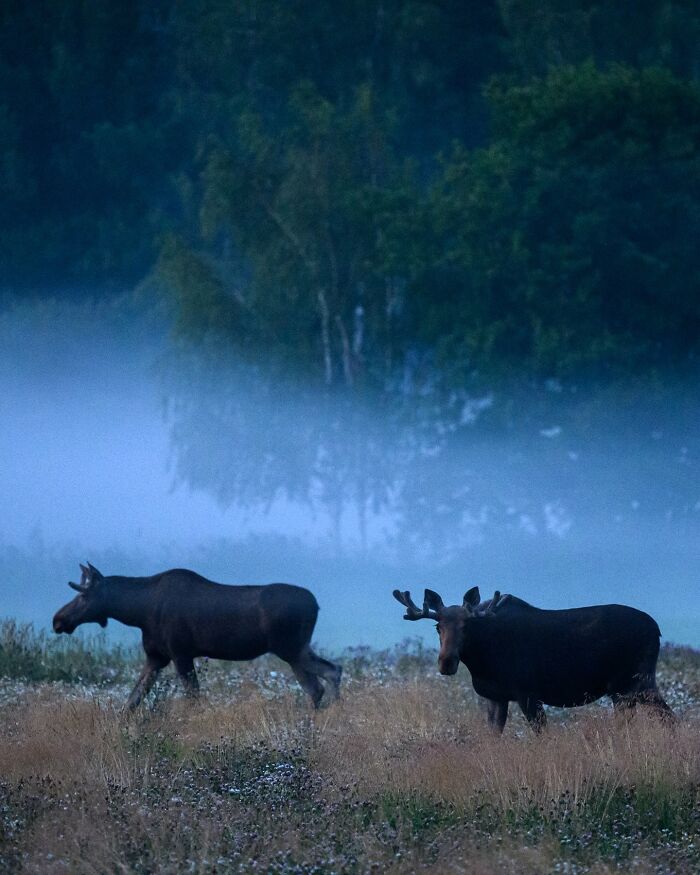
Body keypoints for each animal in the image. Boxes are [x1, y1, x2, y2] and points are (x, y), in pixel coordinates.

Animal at [53, 563, 342, 710]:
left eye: (83, 596)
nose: (58, 620)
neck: (138, 613)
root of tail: (316, 604)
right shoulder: (156, 657)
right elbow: (131, 700)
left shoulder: (180, 652)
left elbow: (193, 698)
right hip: (296, 649)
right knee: (320, 682)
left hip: (290, 647)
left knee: (329, 673)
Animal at [393, 586, 673, 732]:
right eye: (437, 627)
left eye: (467, 626)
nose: (446, 662)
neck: (481, 664)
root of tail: (658, 629)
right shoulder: (495, 696)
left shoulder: (528, 693)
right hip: (634, 688)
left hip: (630, 686)